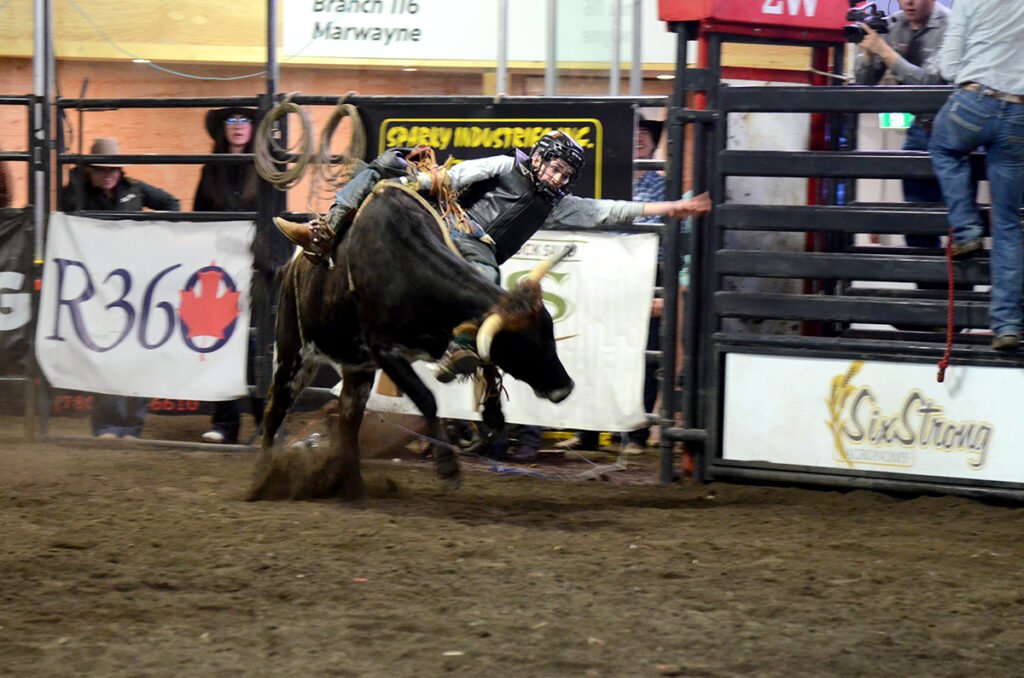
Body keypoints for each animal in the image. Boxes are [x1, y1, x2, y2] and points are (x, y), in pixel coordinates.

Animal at [248, 182, 575, 501]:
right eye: (520, 349)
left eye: (549, 337)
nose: (565, 387)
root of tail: (292, 267)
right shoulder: (384, 351)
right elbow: (427, 399)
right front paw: (448, 469)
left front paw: (493, 416)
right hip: (294, 353)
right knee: (275, 406)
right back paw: (263, 478)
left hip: (357, 368)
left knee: (348, 418)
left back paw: (352, 487)